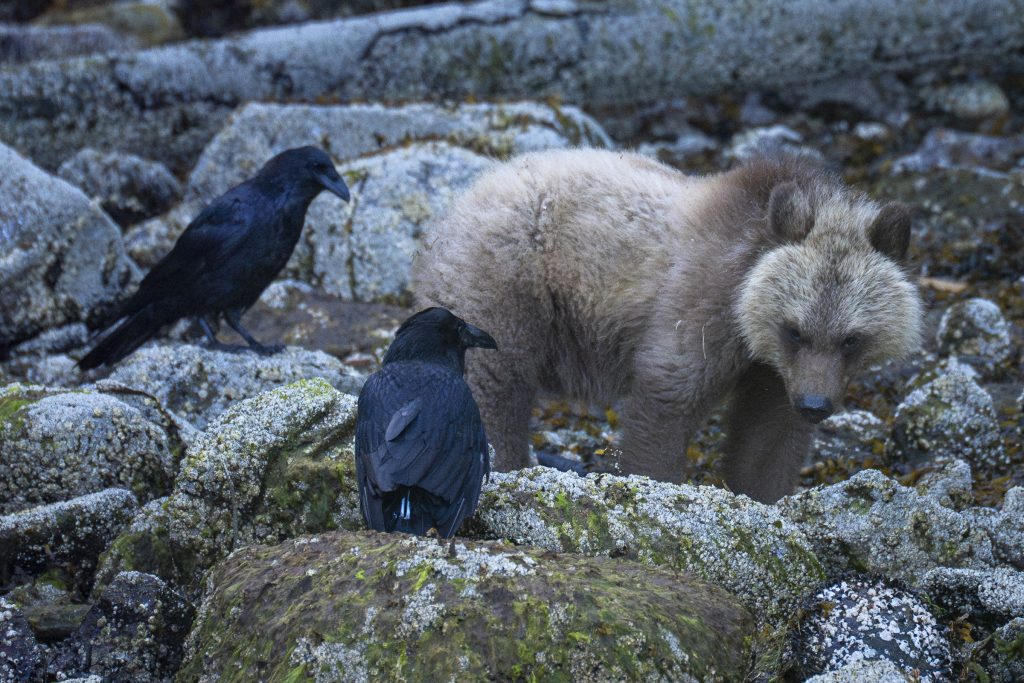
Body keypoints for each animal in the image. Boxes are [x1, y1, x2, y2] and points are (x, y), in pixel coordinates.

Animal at [412, 149, 923, 503]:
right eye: (794, 329)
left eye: (851, 339)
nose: (816, 405)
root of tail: (459, 201)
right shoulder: (705, 301)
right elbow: (669, 398)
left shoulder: (778, 372)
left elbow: (769, 436)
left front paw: (764, 495)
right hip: (503, 283)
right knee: (494, 385)